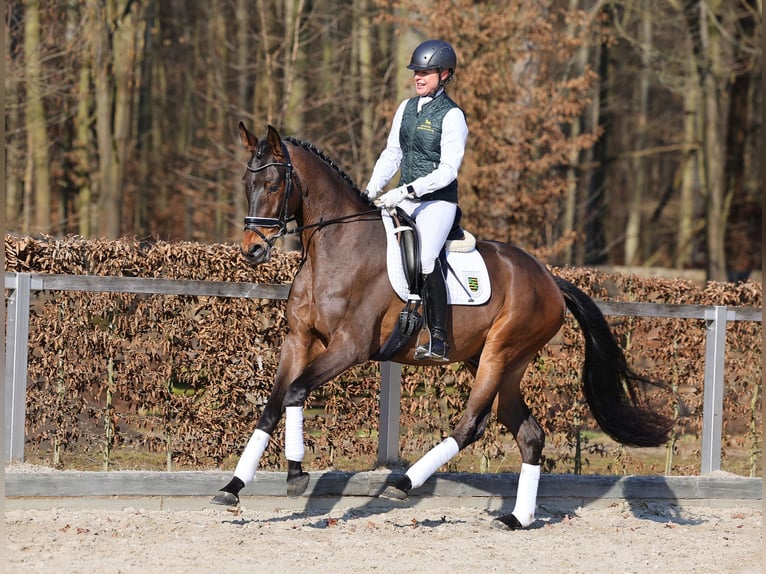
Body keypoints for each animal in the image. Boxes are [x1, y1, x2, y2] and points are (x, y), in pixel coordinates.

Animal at [211, 123, 673, 530]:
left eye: (274, 184)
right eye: (246, 182)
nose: (252, 251)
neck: (334, 247)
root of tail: (548, 278)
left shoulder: (348, 347)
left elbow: (295, 391)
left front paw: (296, 474)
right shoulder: (298, 341)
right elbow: (272, 406)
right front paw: (233, 487)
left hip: (500, 353)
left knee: (471, 425)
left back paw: (402, 485)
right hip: (499, 364)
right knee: (530, 435)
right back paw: (516, 519)